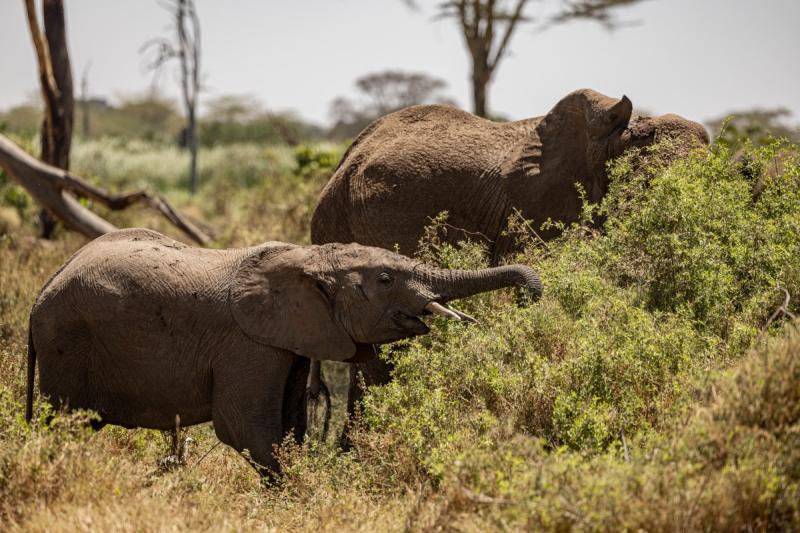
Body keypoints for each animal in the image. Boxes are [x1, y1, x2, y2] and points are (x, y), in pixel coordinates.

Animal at [26, 228, 542, 475]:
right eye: (384, 279)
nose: (533, 294)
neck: (309, 258)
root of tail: (39, 294)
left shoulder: (290, 341)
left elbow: (291, 426)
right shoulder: (247, 342)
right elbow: (245, 429)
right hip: (66, 343)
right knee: (63, 424)